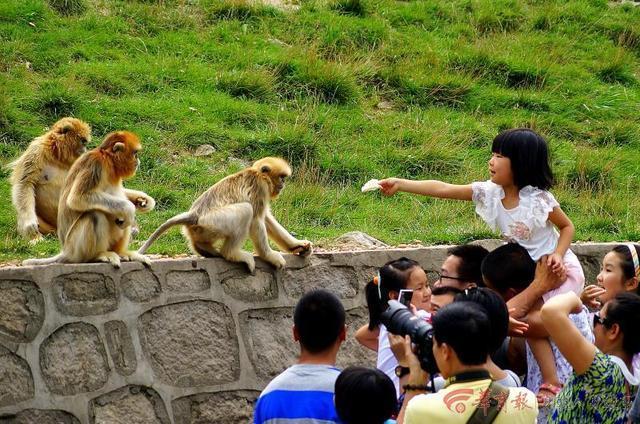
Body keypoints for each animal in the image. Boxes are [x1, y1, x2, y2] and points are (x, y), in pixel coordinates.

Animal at [22, 131, 155, 266]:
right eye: (135, 153)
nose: (138, 161)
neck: (109, 162)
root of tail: (65, 251)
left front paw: (142, 200)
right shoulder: (95, 163)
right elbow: (77, 198)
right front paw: (129, 208)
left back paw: (121, 252)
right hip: (75, 248)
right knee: (95, 214)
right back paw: (98, 255)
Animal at [139, 157, 312, 274]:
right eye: (282, 177)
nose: (283, 184)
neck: (257, 174)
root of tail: (193, 215)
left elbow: (267, 219)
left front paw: (296, 246)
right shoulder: (260, 188)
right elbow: (257, 220)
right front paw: (270, 256)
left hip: (203, 228)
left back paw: (203, 248)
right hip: (212, 222)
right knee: (246, 210)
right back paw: (232, 254)